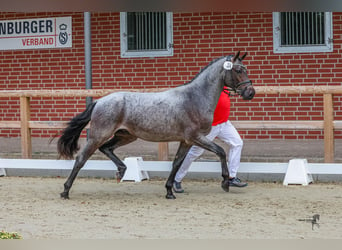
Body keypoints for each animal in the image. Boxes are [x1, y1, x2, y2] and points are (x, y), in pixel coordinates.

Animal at [56, 50, 254, 199]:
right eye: (238, 70)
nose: (250, 92)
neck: (194, 97)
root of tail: (99, 101)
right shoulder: (195, 137)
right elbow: (221, 152)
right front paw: (225, 182)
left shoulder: (186, 141)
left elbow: (176, 163)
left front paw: (169, 191)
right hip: (99, 135)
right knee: (81, 158)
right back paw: (65, 191)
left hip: (126, 135)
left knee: (106, 148)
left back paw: (122, 170)